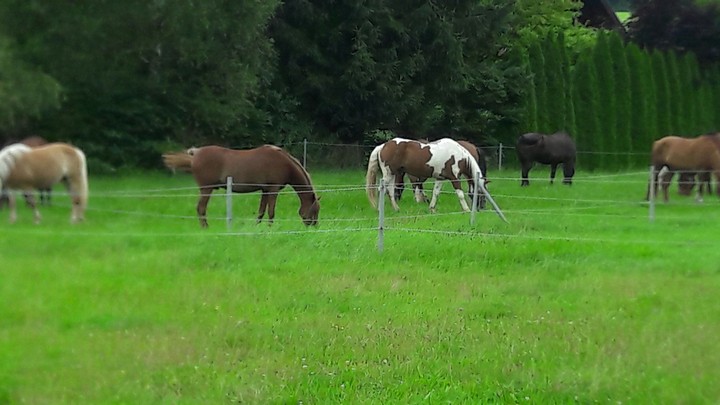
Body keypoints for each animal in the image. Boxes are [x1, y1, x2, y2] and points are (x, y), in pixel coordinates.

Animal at [162, 145, 320, 228]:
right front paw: (270, 228)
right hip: (206, 189)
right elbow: (271, 212)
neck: (285, 163)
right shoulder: (273, 190)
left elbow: (261, 211)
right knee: (201, 208)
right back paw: (205, 228)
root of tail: (195, 154)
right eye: (315, 210)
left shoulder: (265, 190)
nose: (314, 226)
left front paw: (257, 227)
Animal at [365, 137, 507, 222]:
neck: (458, 155)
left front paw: (432, 208)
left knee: (389, 191)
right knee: (381, 190)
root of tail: (383, 145)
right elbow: (460, 194)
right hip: (388, 173)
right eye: (481, 194)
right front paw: (466, 209)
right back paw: (380, 209)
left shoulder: (440, 178)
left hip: (393, 174)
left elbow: (436, 193)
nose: (481, 208)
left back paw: (396, 209)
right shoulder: (454, 178)